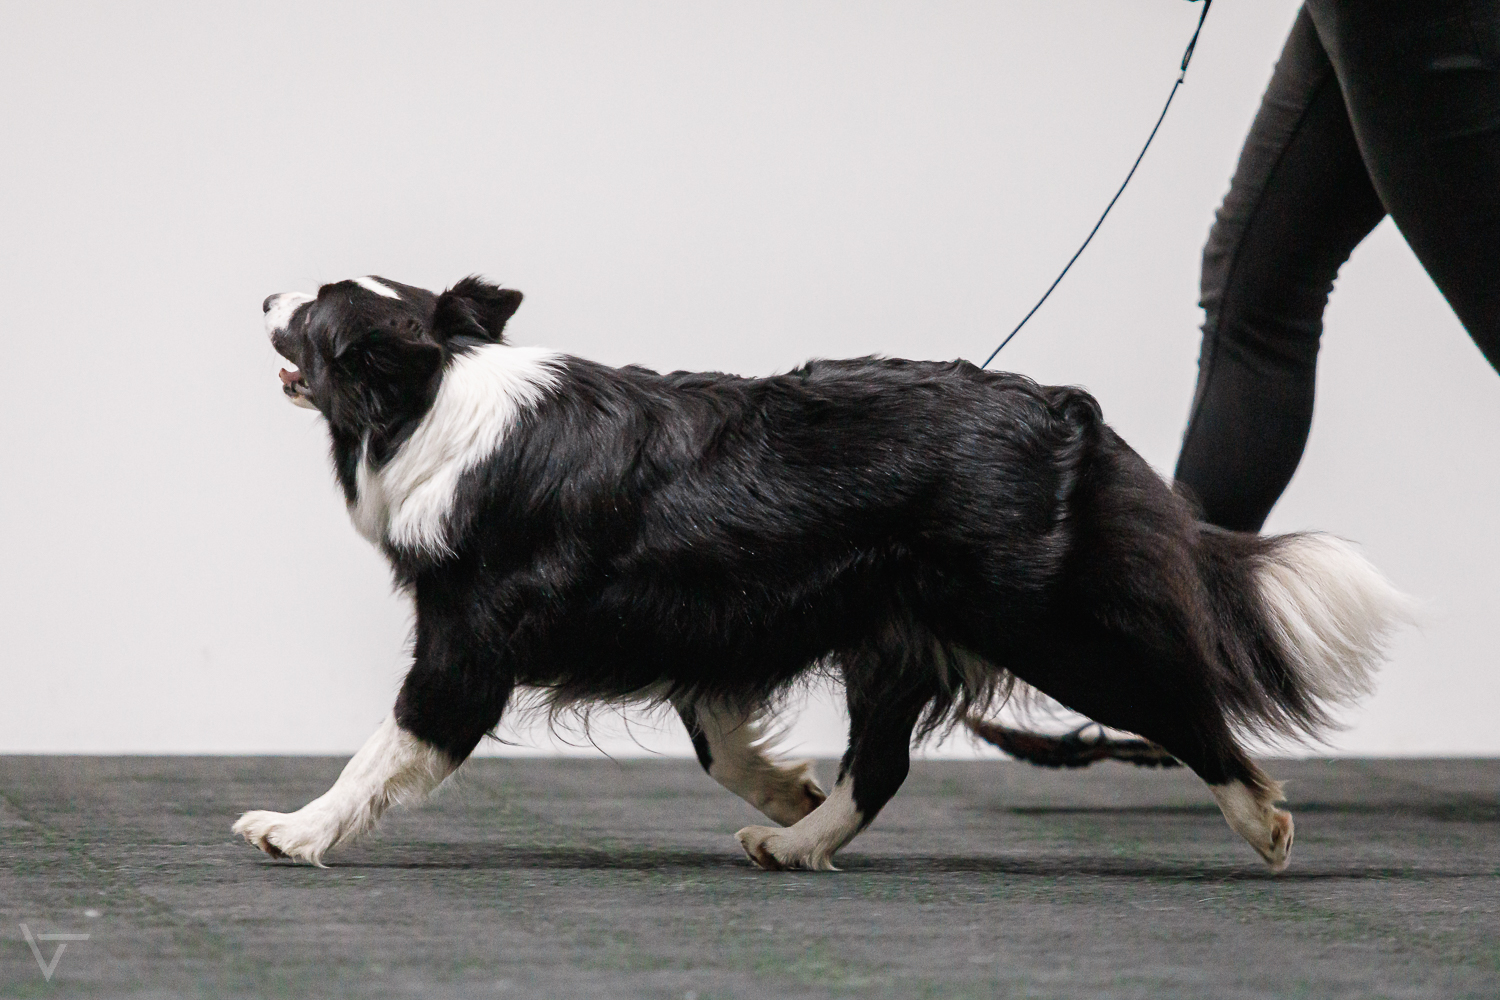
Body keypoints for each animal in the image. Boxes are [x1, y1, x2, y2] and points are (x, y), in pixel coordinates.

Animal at [236, 274, 1414, 871]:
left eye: (316, 309)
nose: (261, 291)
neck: (437, 398)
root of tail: (1069, 413)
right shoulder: (699, 616)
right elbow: (718, 736)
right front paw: (786, 787)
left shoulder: (470, 642)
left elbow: (389, 746)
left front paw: (297, 829)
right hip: (896, 630)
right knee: (882, 763)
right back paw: (799, 838)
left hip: (1045, 622)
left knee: (1182, 704)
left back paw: (1261, 822)